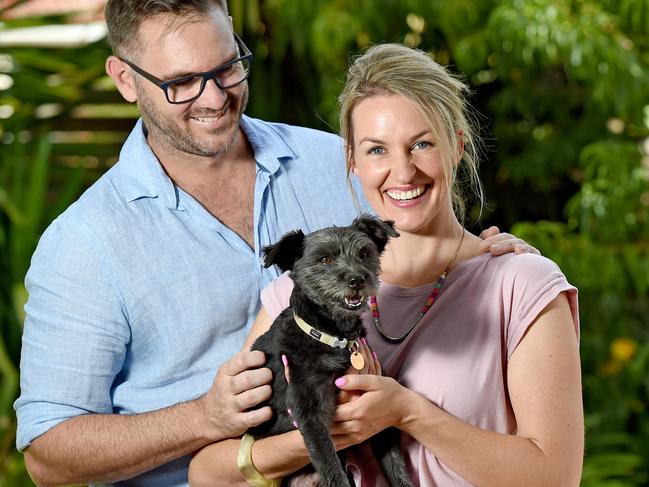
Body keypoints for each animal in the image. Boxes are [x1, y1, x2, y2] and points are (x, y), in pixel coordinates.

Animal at [248, 217, 410, 487]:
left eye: (364, 253)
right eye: (324, 259)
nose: (358, 279)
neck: (334, 337)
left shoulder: (376, 406)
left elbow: (395, 463)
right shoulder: (309, 409)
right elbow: (330, 466)